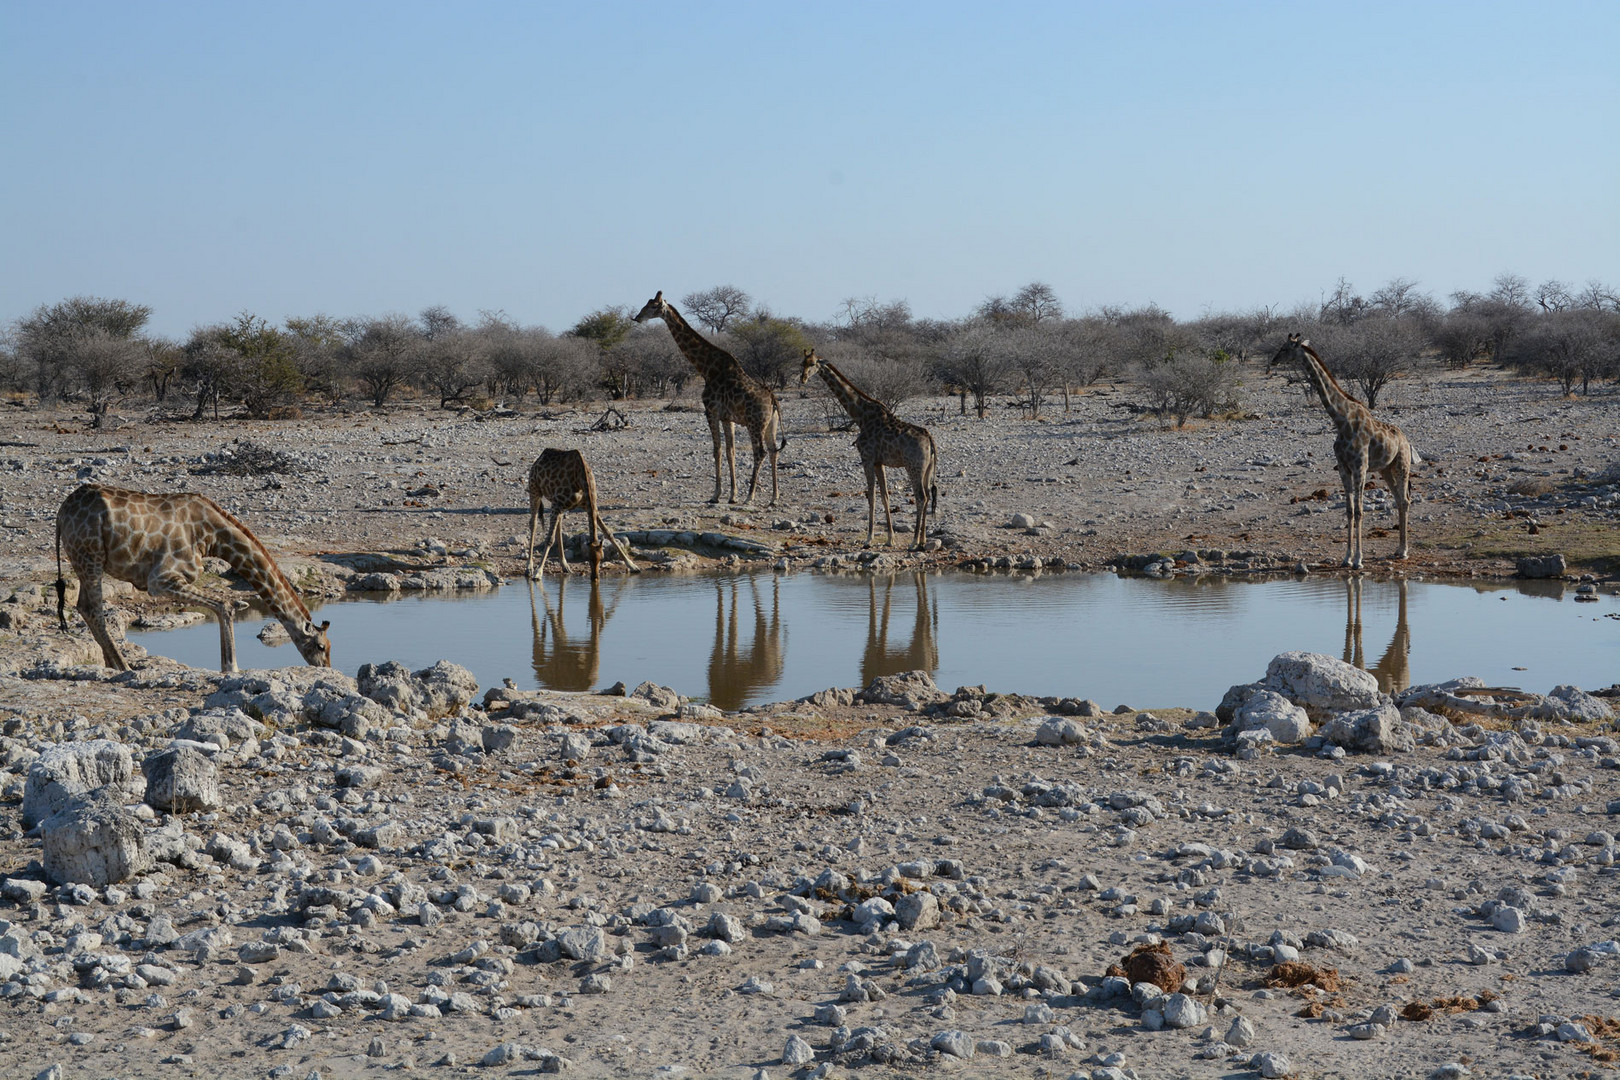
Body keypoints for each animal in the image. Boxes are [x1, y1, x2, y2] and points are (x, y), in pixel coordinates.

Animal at [54, 482, 332, 670]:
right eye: (322, 646)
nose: (325, 668)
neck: (213, 537)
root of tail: (61, 513)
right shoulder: (161, 579)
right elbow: (224, 604)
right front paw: (231, 668)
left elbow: (223, 605)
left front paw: (228, 667)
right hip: (90, 556)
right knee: (93, 609)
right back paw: (124, 666)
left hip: (85, 560)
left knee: (83, 606)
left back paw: (112, 664)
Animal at [524, 446, 638, 582]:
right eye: (588, 558)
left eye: (602, 557)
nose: (595, 577)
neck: (581, 479)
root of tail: (539, 457)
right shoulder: (557, 504)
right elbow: (549, 539)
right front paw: (538, 572)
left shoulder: (589, 506)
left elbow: (608, 533)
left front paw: (632, 565)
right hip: (535, 490)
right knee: (533, 523)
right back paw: (529, 568)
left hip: (557, 505)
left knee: (558, 526)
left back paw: (565, 565)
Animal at [631, 286, 784, 508]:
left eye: (653, 306)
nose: (637, 317)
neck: (706, 368)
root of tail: (773, 400)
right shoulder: (727, 417)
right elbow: (730, 451)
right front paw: (732, 495)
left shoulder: (710, 411)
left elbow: (717, 450)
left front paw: (716, 495)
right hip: (770, 424)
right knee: (774, 450)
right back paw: (774, 497)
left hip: (755, 423)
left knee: (760, 452)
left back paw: (750, 496)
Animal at [803, 351, 946, 550]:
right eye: (802, 363)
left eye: (813, 363)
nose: (803, 378)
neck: (861, 416)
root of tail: (930, 440)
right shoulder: (879, 462)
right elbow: (885, 496)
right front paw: (890, 539)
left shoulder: (867, 458)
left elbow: (871, 495)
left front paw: (868, 539)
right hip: (927, 468)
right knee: (927, 496)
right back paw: (923, 540)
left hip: (913, 466)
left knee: (921, 497)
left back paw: (913, 542)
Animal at [1270, 335, 1412, 573]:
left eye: (1284, 348)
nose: (1272, 361)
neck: (1341, 419)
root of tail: (1406, 440)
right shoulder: (1344, 468)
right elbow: (1349, 510)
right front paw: (1347, 558)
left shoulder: (1360, 467)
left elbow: (1360, 511)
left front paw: (1359, 559)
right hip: (1386, 469)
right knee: (1400, 499)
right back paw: (1398, 549)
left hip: (1402, 465)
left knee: (1405, 500)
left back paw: (1403, 551)